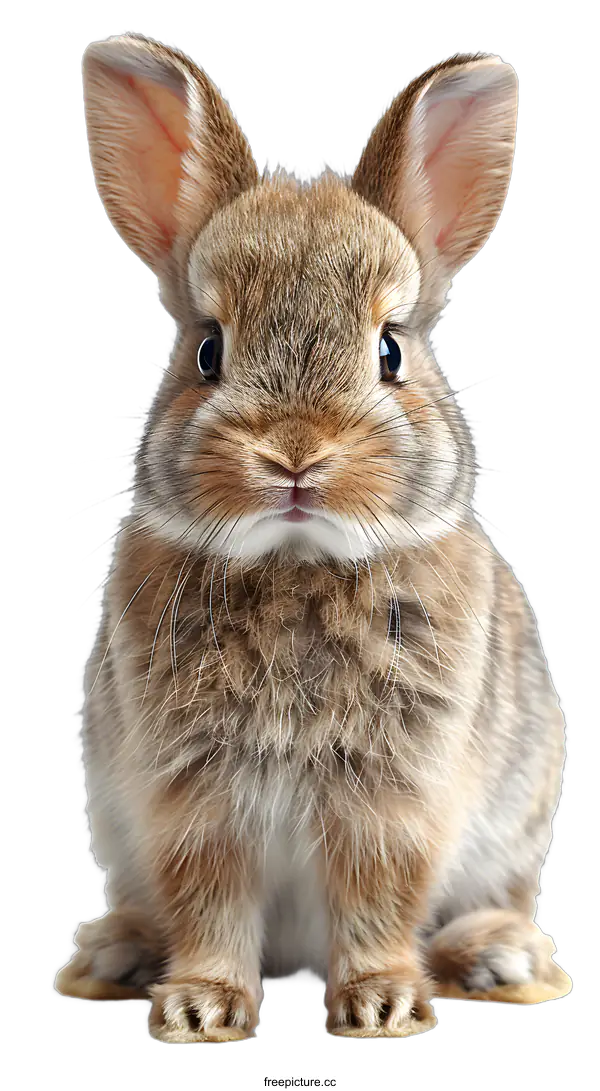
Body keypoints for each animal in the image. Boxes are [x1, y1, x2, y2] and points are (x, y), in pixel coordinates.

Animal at [56, 35, 572, 1042]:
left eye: (391, 350)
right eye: (207, 351)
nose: (296, 454)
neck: (297, 562)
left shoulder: (394, 792)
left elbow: (377, 891)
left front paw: (381, 1005)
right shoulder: (195, 797)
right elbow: (211, 895)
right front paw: (201, 1010)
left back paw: (497, 958)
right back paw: (115, 954)